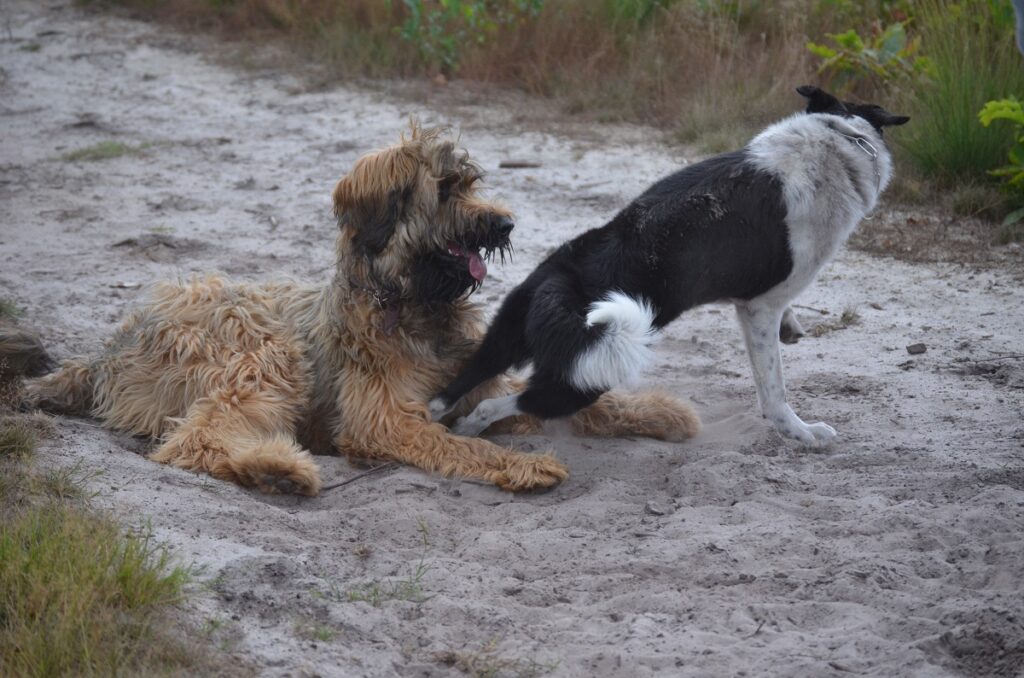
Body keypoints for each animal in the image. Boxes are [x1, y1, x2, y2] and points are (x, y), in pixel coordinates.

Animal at [4, 125, 700, 493]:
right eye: (446, 189)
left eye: (473, 183)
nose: (504, 223)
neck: (412, 304)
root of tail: (106, 351)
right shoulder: (383, 418)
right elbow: (455, 443)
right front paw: (518, 464)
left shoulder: (472, 383)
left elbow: (572, 401)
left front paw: (657, 411)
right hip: (260, 351)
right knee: (193, 441)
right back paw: (278, 467)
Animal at [428, 86, 909, 446]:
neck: (837, 139)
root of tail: (563, 284)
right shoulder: (760, 307)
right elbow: (774, 390)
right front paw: (802, 431)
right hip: (583, 378)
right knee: (500, 403)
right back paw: (473, 429)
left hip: (506, 338)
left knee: (452, 391)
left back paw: (448, 426)